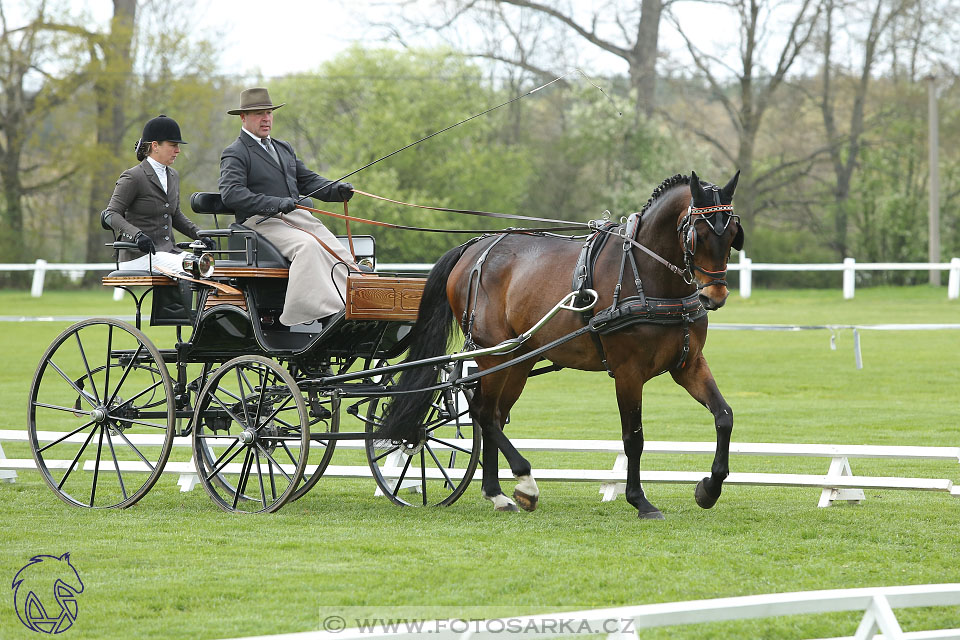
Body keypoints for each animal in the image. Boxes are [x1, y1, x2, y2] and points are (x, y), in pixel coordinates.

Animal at [378, 171, 748, 520]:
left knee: (493, 416)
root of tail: (473, 249)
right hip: (494, 355)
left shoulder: (689, 364)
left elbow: (724, 416)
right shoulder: (628, 373)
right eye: (697, 233)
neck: (644, 272)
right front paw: (640, 500)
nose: (714, 296)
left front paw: (709, 488)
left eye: (732, 234)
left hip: (518, 361)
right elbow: (634, 438)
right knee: (484, 413)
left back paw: (499, 493)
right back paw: (523, 481)